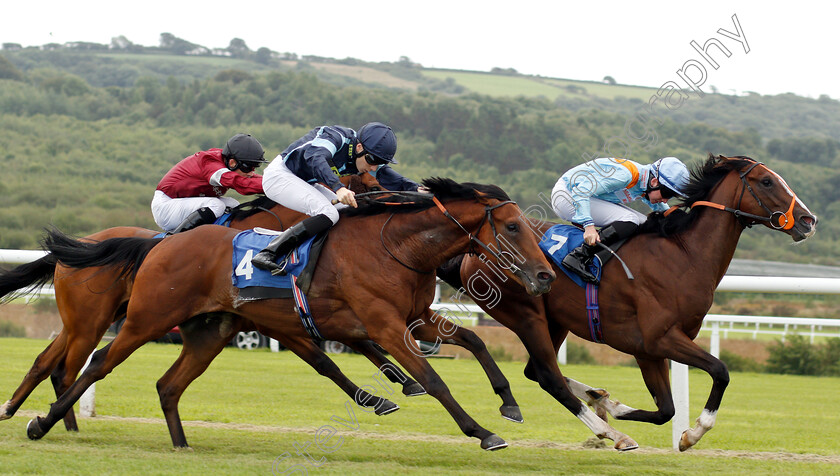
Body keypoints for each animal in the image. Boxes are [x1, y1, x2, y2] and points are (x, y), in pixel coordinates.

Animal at [23, 178, 556, 450]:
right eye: (512, 227)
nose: (546, 276)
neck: (395, 246)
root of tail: (160, 246)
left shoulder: (416, 317)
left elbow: (476, 342)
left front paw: (509, 404)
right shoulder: (382, 325)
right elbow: (433, 379)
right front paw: (481, 432)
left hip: (208, 331)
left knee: (166, 384)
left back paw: (181, 444)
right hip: (140, 319)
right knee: (95, 362)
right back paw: (41, 423)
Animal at [442, 155, 816, 450]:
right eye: (766, 181)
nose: (808, 221)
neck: (684, 257)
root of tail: (472, 252)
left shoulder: (650, 350)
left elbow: (666, 410)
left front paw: (614, 405)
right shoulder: (658, 339)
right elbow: (719, 372)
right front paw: (692, 434)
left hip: (555, 321)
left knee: (537, 371)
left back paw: (598, 400)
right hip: (524, 315)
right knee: (548, 376)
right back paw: (613, 433)